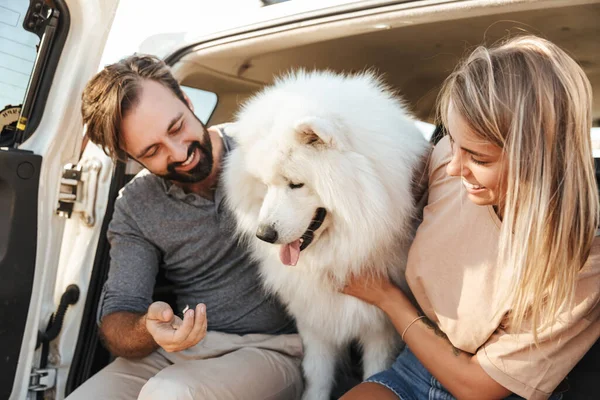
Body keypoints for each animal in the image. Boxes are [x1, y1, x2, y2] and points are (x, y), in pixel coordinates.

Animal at [223, 71, 428, 400]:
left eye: (296, 184)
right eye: (264, 184)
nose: (264, 234)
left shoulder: (380, 328)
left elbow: (374, 369)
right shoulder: (316, 323)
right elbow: (317, 377)